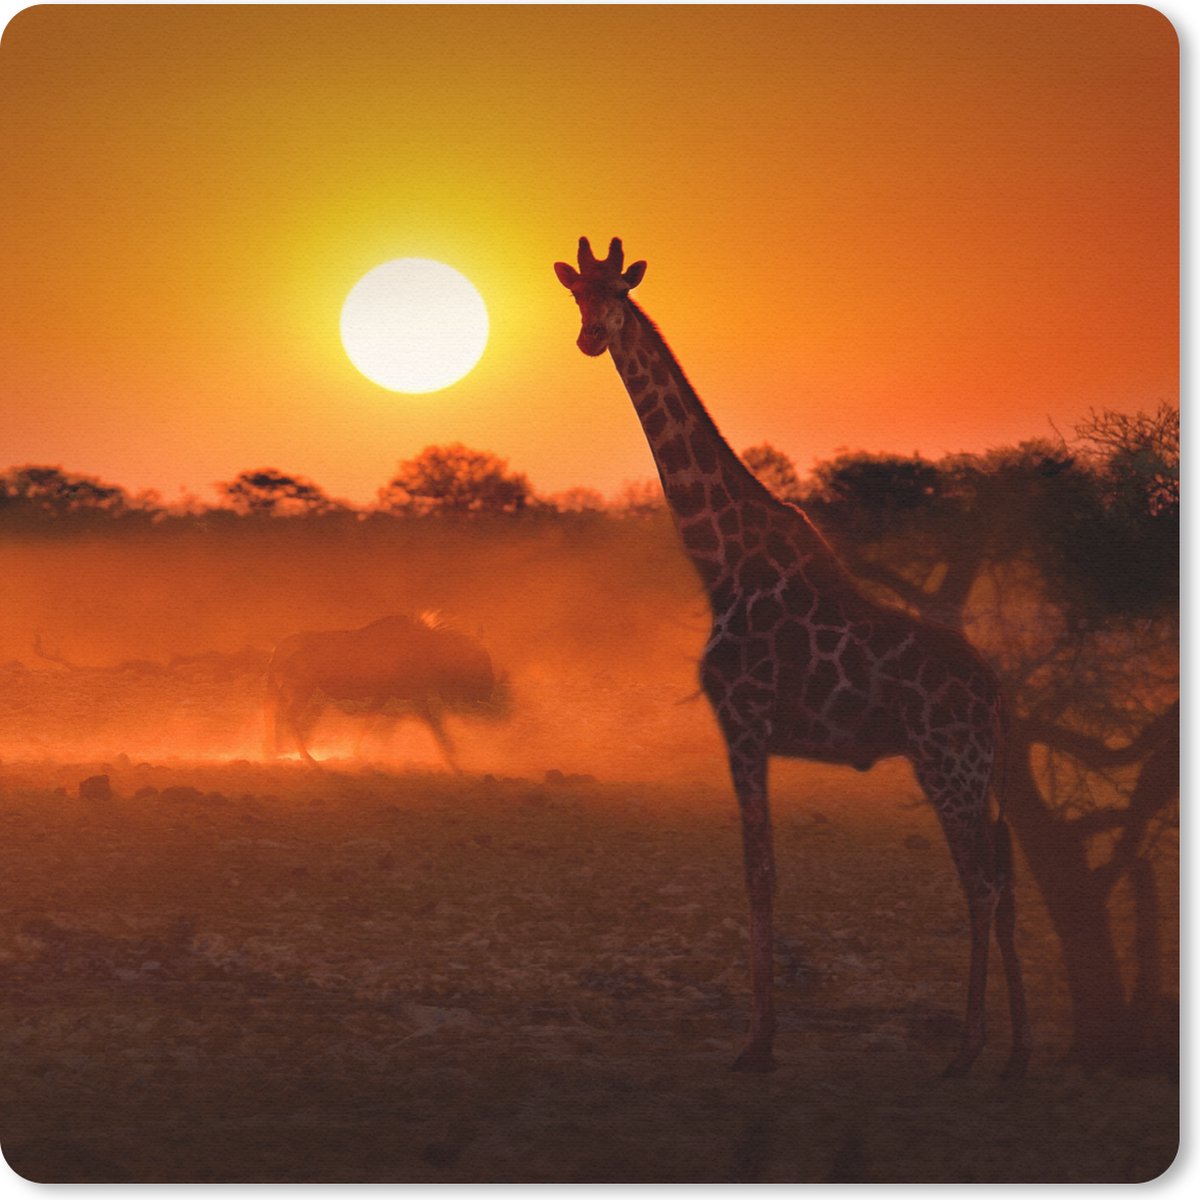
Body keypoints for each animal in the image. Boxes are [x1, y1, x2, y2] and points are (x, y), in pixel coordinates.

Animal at [555, 237, 1030, 1076]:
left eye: (619, 292)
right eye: (577, 293)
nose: (590, 337)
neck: (719, 564)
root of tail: (997, 697)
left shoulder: (742, 721)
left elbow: (760, 872)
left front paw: (757, 1043)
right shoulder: (751, 730)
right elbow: (763, 870)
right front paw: (762, 1036)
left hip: (949, 764)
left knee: (981, 884)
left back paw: (967, 1050)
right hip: (976, 772)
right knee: (1003, 879)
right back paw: (1018, 1054)